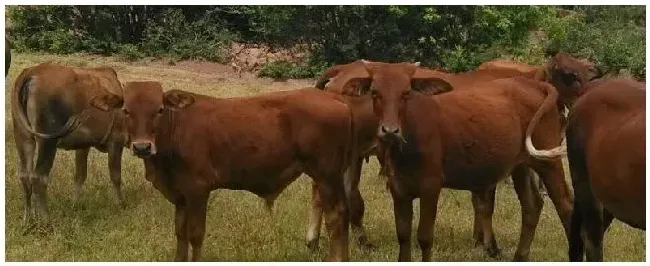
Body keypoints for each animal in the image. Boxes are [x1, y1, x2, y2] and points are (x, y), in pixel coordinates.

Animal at [11, 62, 127, 227]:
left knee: (25, 176)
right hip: (47, 141)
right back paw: (47, 221)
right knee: (39, 178)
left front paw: (75, 204)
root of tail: (32, 72)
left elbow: (80, 175)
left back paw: (28, 219)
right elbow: (115, 175)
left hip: (23, 136)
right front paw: (120, 204)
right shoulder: (116, 142)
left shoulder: (83, 145)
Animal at [88, 82, 352, 260]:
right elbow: (180, 233)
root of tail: (335, 99)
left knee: (335, 219)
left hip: (326, 175)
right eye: (126, 110)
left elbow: (195, 234)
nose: (142, 146)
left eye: (160, 109)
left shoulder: (197, 191)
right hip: (334, 177)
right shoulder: (180, 196)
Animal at [336, 61, 568, 260]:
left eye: (406, 93)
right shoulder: (398, 189)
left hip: (548, 163)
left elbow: (424, 237)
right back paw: (520, 256)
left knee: (565, 205)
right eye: (375, 93)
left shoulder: (431, 187)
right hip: (521, 166)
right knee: (531, 206)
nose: (390, 131)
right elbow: (403, 235)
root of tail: (534, 84)